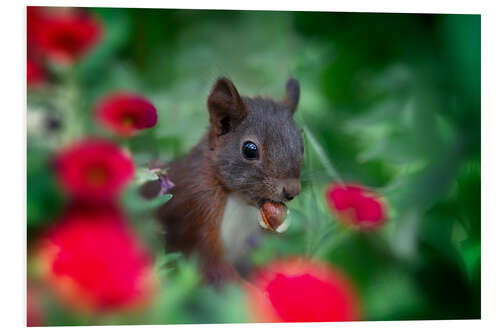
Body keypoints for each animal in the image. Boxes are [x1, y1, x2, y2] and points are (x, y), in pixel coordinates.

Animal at [143, 77, 302, 286]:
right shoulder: (197, 212)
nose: (292, 191)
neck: (239, 201)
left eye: (302, 144)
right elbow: (213, 268)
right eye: (249, 149)